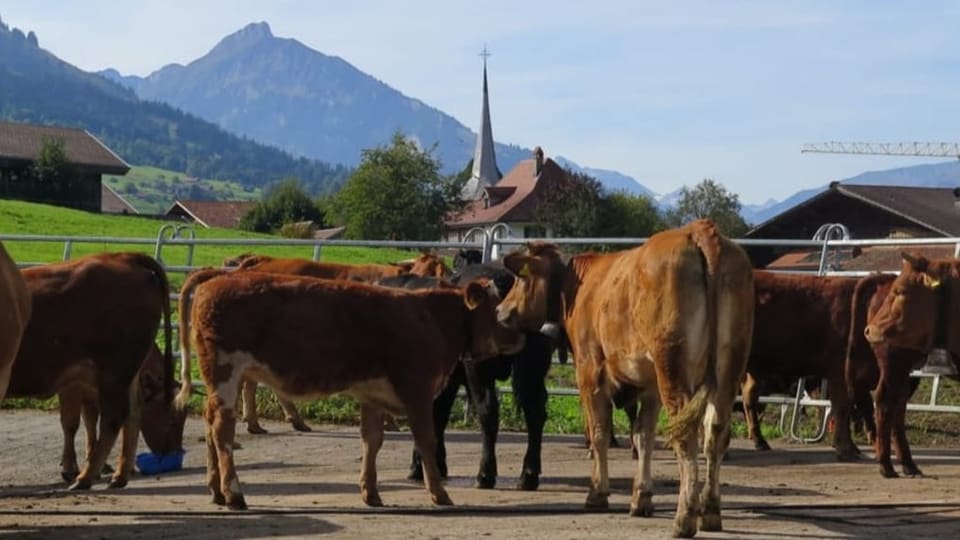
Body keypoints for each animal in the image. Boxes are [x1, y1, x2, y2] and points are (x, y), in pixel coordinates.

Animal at [6, 253, 174, 490]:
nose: (169, 450)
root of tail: (124, 257)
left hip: (113, 372)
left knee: (113, 418)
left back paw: (85, 477)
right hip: (125, 375)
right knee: (132, 415)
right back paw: (118, 476)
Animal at [176, 270, 528, 510]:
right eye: (498, 310)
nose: (522, 336)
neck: (431, 318)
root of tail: (222, 275)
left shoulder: (373, 394)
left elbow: (372, 441)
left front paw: (370, 492)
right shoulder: (417, 390)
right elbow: (426, 441)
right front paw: (439, 493)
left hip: (223, 381)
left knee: (209, 422)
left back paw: (216, 490)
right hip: (227, 371)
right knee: (222, 429)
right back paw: (234, 493)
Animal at [496, 220, 756, 540]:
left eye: (520, 279)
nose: (500, 311)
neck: (578, 287)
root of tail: (699, 230)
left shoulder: (590, 372)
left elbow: (599, 432)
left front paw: (597, 492)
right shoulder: (650, 386)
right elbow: (643, 436)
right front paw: (641, 498)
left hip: (673, 368)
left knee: (686, 436)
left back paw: (684, 517)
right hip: (728, 368)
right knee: (715, 433)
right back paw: (710, 512)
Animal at [864, 254, 960, 476]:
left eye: (900, 291)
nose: (871, 330)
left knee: (898, 405)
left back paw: (908, 464)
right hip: (894, 364)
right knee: (885, 401)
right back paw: (886, 464)